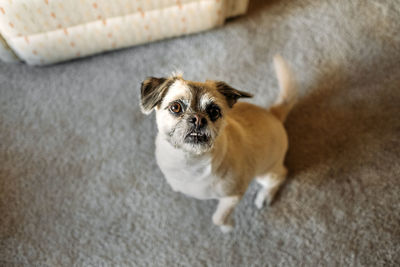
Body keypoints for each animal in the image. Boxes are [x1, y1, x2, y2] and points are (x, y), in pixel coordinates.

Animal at [139, 55, 296, 233]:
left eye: (214, 112)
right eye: (175, 107)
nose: (198, 119)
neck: (190, 160)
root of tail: (274, 114)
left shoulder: (233, 195)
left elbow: (218, 218)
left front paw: (228, 227)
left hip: (266, 174)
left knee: (281, 175)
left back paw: (265, 196)